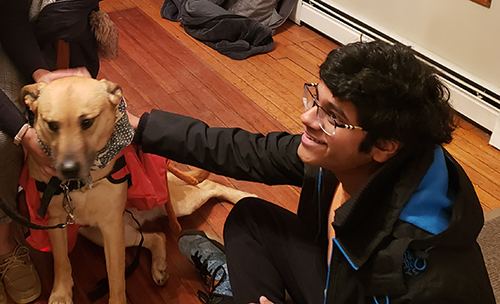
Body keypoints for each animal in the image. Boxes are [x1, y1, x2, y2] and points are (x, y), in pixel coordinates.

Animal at [20, 77, 256, 304]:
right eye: (51, 125)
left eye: (87, 122)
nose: (68, 169)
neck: (83, 183)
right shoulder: (56, 222)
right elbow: (61, 261)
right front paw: (61, 294)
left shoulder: (111, 229)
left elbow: (116, 280)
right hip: (97, 233)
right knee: (157, 236)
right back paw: (159, 266)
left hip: (177, 205)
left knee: (209, 186)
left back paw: (245, 196)